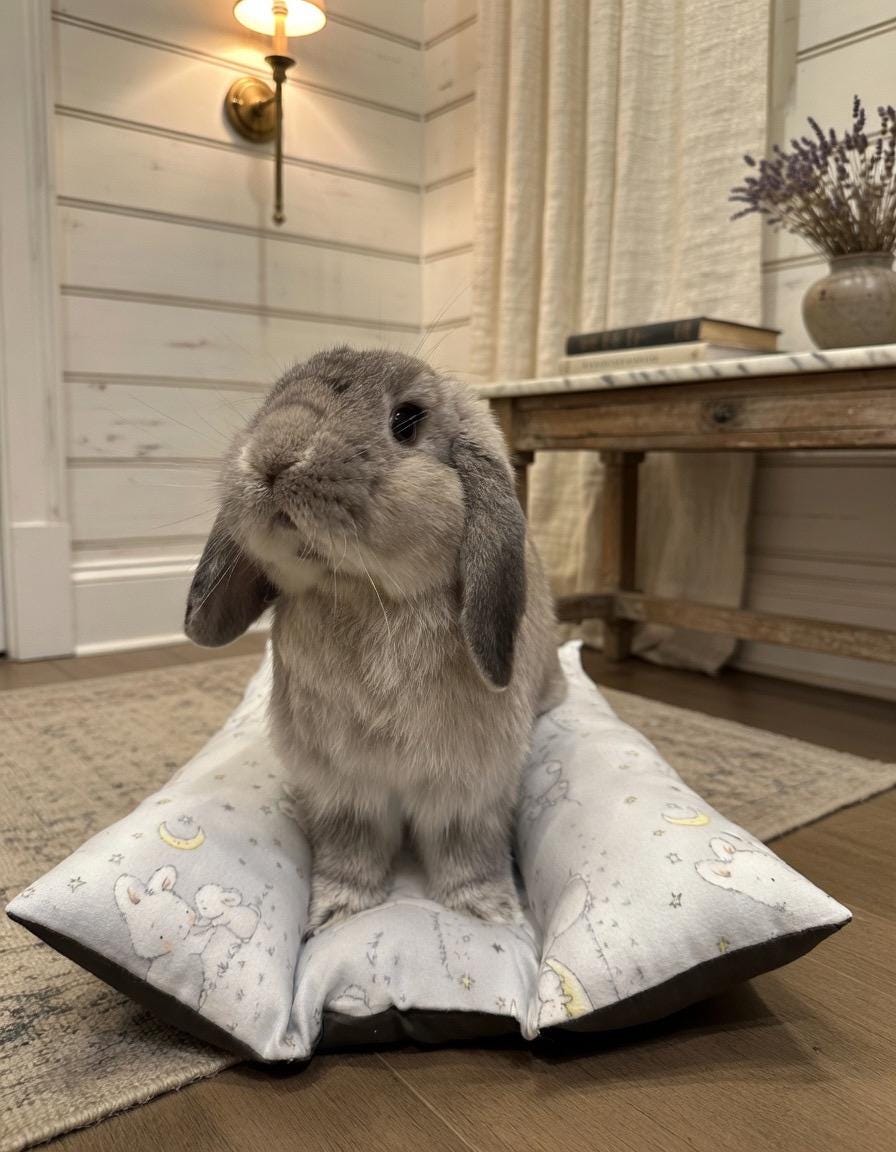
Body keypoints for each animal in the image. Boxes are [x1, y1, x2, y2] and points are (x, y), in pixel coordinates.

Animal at [184, 346, 566, 935]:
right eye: (273, 398)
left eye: (406, 421)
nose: (273, 455)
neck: (364, 593)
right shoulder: (343, 790)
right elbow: (351, 851)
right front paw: (336, 912)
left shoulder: (469, 792)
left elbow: (469, 853)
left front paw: (487, 914)